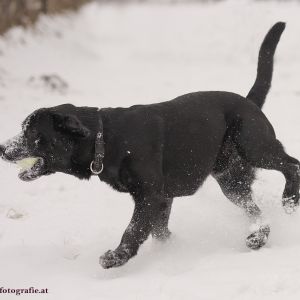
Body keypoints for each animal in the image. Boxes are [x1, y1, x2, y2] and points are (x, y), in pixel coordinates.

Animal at [1, 22, 298, 268]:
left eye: (30, 132)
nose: (3, 149)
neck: (104, 139)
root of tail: (249, 102)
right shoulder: (162, 199)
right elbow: (159, 232)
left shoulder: (149, 196)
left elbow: (133, 229)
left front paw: (117, 257)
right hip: (231, 180)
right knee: (257, 211)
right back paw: (258, 236)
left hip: (254, 145)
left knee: (292, 165)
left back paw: (289, 201)